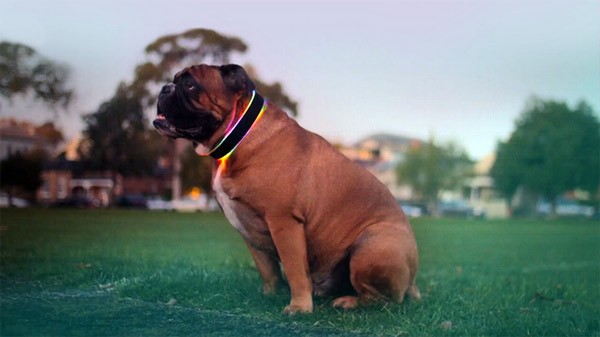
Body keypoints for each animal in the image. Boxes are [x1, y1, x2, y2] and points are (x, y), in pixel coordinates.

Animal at [152, 63, 420, 312]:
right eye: (175, 79)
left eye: (190, 85)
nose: (165, 88)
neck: (238, 137)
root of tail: (413, 282)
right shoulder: (248, 230)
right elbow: (267, 269)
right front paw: (271, 295)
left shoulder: (284, 222)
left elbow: (293, 268)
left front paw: (299, 307)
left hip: (370, 246)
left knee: (383, 300)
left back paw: (348, 302)